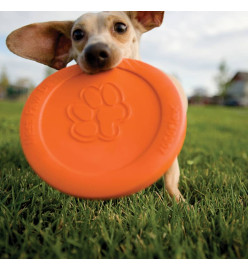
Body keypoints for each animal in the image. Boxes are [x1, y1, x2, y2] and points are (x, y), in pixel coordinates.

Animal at [6, 11, 188, 204]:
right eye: (77, 34)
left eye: (121, 27)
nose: (95, 52)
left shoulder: (171, 157)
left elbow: (171, 178)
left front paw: (179, 201)